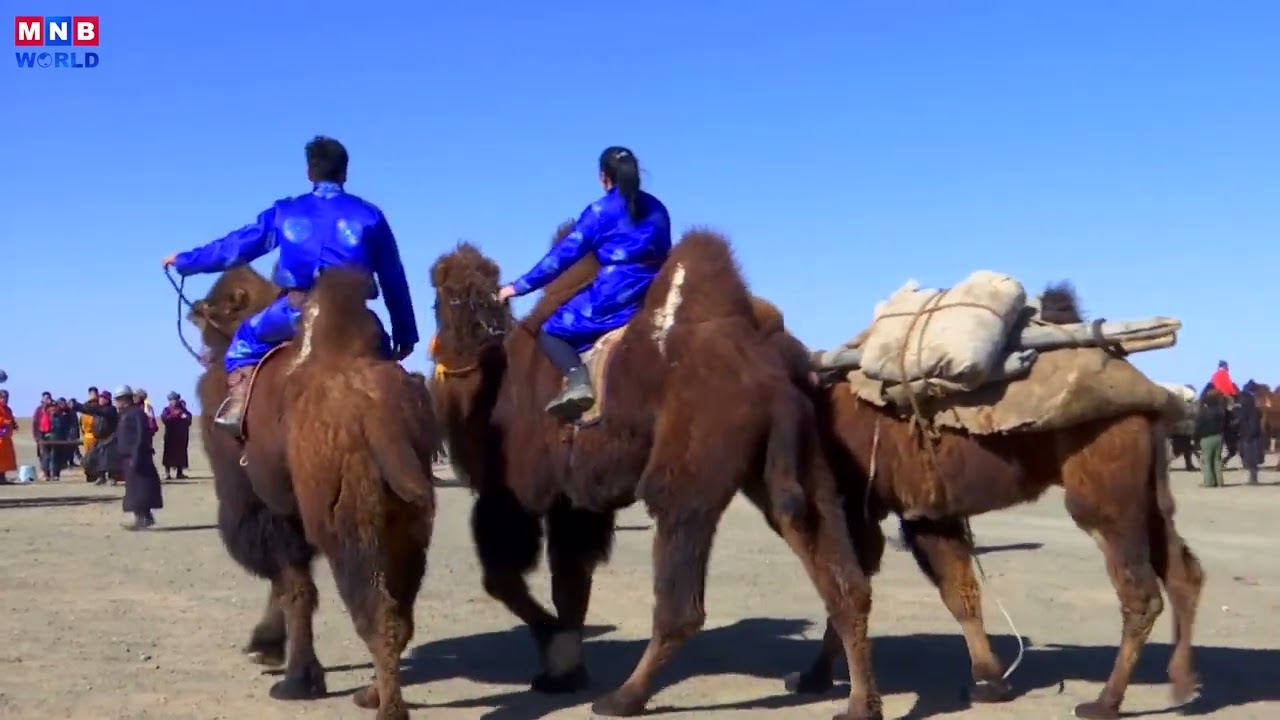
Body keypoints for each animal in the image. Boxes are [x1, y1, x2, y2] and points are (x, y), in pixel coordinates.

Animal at [191, 266, 438, 718]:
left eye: (215, 304)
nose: (197, 310)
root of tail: (379, 417)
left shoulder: (261, 505)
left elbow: (294, 587)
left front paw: (293, 676)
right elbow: (289, 583)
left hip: (347, 517)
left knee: (374, 611)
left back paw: (387, 708)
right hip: (409, 514)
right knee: (400, 610)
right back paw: (371, 693)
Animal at [429, 226, 884, 719]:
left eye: (440, 298)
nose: (475, 318)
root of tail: (775, 379)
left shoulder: (515, 493)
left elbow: (505, 580)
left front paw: (559, 654)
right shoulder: (574, 502)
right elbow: (570, 583)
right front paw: (566, 672)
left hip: (688, 479)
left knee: (681, 604)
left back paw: (623, 697)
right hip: (794, 467)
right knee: (843, 576)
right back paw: (857, 701)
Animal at [772, 284, 1205, 720]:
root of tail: (1148, 393)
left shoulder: (863, 507)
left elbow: (845, 588)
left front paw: (813, 678)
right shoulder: (928, 511)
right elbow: (960, 592)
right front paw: (991, 681)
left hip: (1106, 488)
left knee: (1140, 592)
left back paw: (1105, 702)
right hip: (1148, 490)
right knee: (1184, 573)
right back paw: (1182, 683)